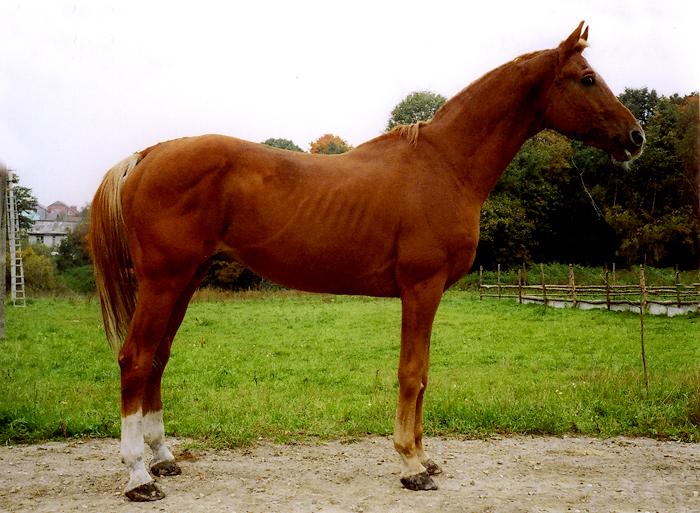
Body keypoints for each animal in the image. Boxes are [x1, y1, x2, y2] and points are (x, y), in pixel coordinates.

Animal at [89, 22, 644, 501]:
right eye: (587, 78)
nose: (636, 136)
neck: (445, 165)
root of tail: (147, 155)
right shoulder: (421, 288)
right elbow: (412, 373)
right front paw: (412, 465)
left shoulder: (427, 294)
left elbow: (424, 374)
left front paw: (425, 455)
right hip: (164, 281)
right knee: (135, 358)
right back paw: (139, 476)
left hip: (184, 282)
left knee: (157, 359)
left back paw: (163, 457)